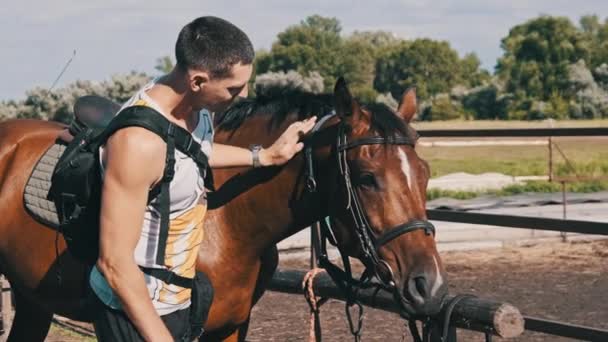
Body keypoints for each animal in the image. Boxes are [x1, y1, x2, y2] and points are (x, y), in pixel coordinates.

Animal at [0, 79, 446, 340]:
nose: (430, 287)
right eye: (367, 177)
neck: (229, 224)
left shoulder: (232, 327)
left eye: (424, 174)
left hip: (33, 301)